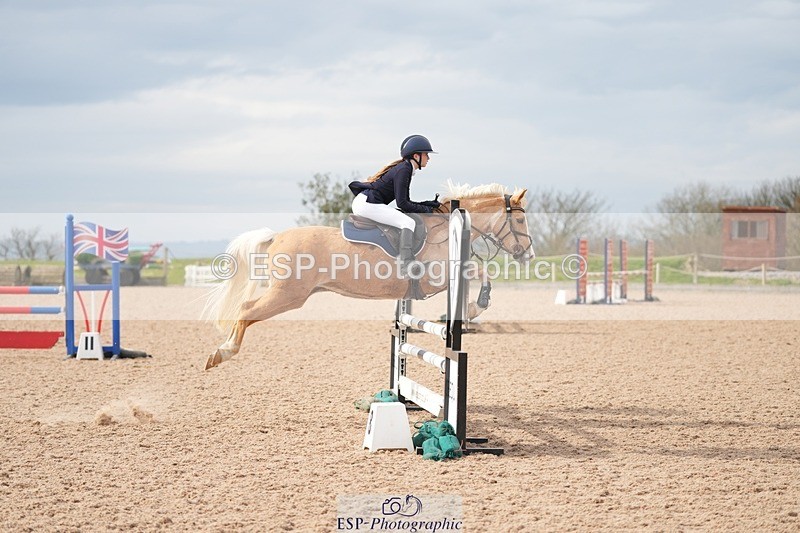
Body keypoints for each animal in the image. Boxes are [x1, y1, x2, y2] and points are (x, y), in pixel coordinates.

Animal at [203, 182, 533, 370]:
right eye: (519, 220)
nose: (528, 255)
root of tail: (277, 236)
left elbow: (479, 270)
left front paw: (475, 308)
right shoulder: (436, 278)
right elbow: (478, 271)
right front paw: (478, 305)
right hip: (288, 295)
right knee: (246, 310)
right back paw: (222, 353)